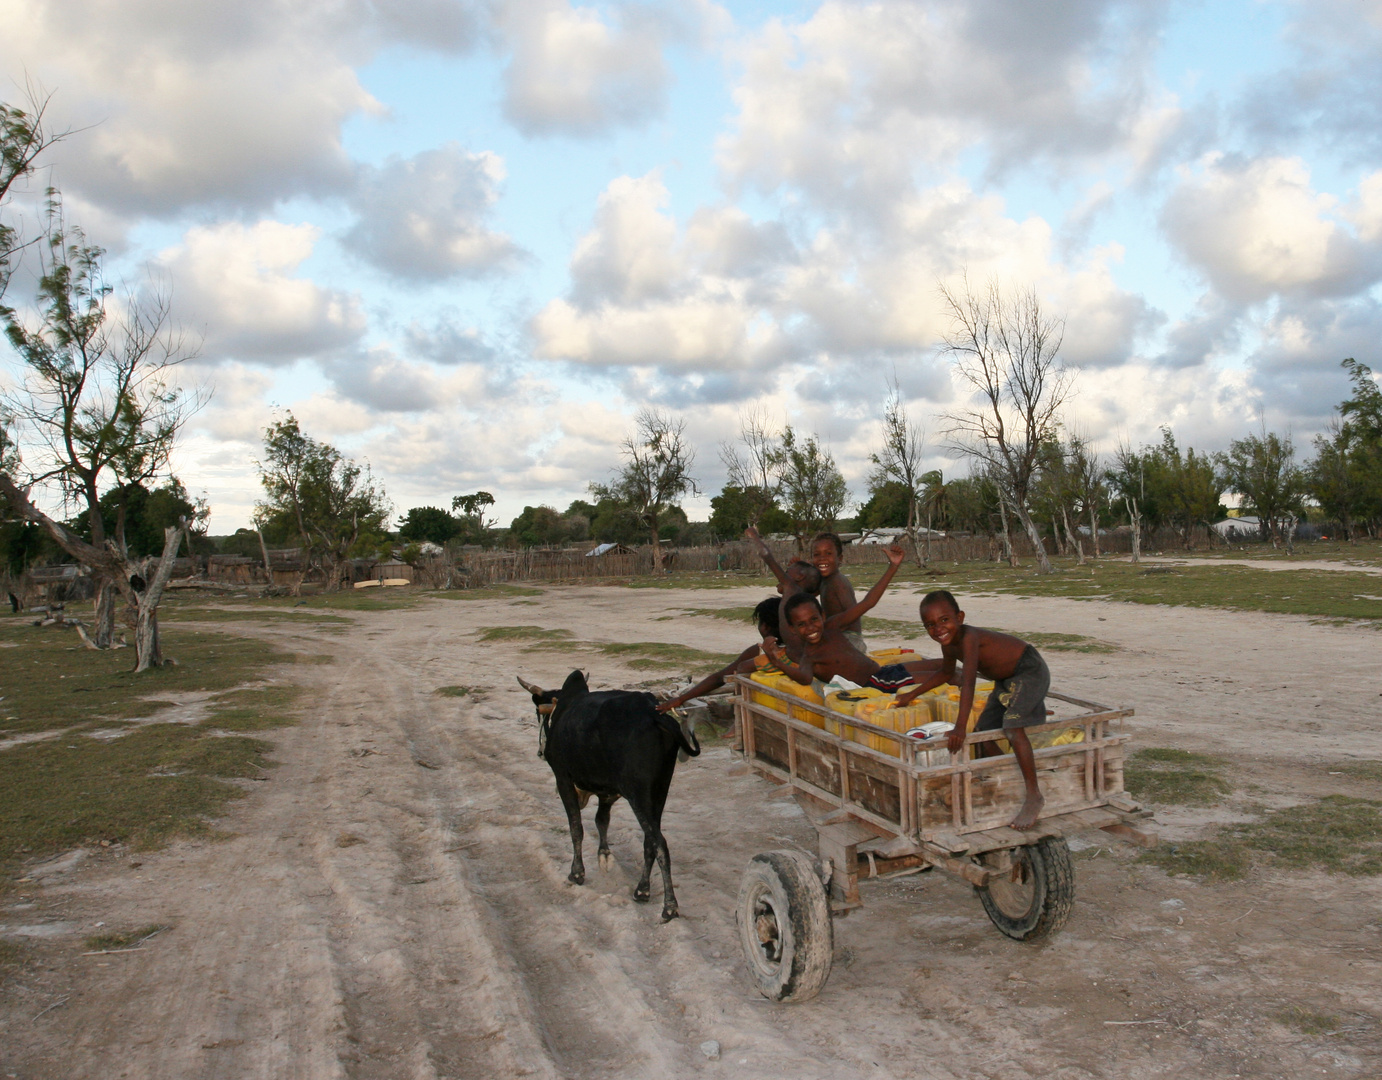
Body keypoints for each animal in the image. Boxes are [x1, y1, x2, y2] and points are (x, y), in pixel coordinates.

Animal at [519, 666, 696, 918]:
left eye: (538, 712)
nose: (540, 752)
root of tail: (655, 715)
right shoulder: (607, 792)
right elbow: (601, 820)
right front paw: (604, 855)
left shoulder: (563, 778)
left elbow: (576, 827)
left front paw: (577, 873)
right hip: (660, 789)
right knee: (650, 840)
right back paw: (642, 890)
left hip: (638, 792)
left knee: (659, 842)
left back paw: (669, 906)